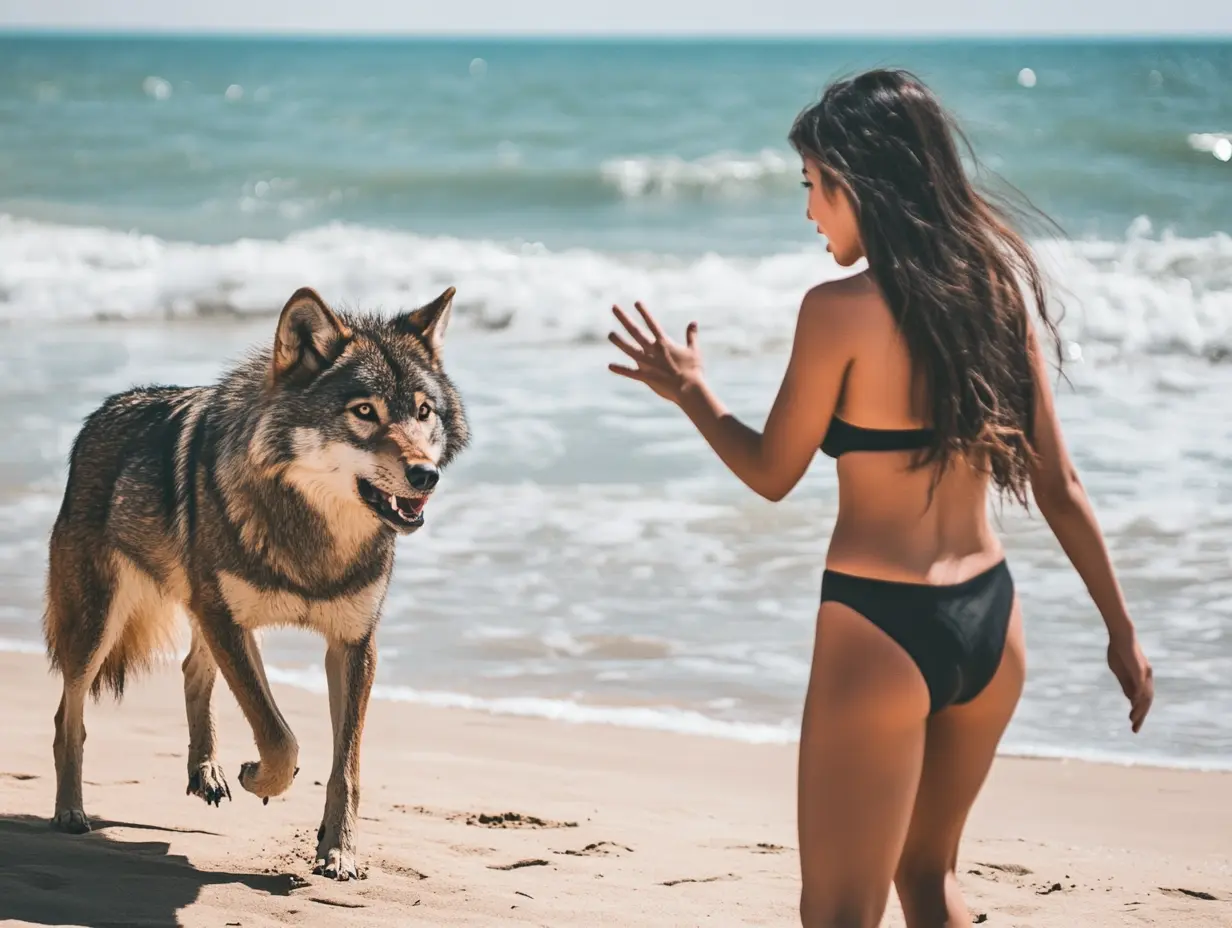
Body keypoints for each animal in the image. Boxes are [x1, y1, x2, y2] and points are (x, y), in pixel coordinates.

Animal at [43, 285, 469, 880]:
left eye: (423, 413)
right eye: (365, 412)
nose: (427, 474)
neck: (314, 539)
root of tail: (103, 412)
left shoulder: (352, 643)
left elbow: (347, 767)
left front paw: (339, 851)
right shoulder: (228, 621)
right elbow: (280, 738)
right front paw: (259, 778)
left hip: (202, 617)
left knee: (192, 671)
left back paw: (206, 771)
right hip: (99, 626)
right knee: (69, 716)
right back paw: (70, 812)